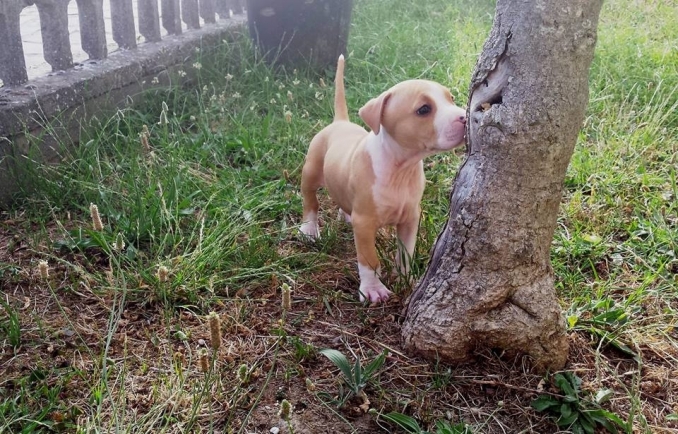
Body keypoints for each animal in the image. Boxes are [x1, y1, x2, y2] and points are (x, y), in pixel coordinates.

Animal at [302, 55, 468, 302]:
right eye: (424, 109)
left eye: (451, 99)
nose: (465, 116)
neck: (401, 168)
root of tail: (340, 122)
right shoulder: (364, 223)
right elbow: (369, 259)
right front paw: (373, 289)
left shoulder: (410, 217)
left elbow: (406, 252)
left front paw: (405, 278)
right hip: (311, 170)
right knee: (310, 200)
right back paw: (309, 230)